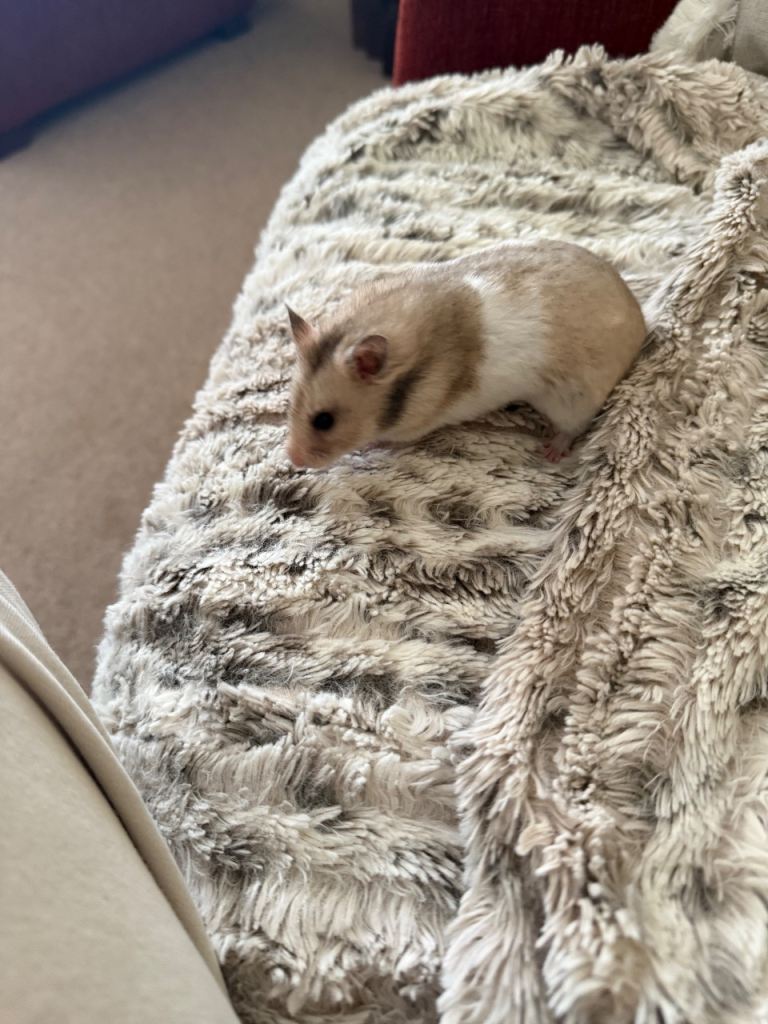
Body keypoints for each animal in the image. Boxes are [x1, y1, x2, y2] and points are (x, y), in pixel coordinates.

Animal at [285, 240, 646, 469]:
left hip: (572, 399)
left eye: (324, 421)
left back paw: (550, 451)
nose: (293, 461)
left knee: (573, 427)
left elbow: (392, 440)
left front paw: (370, 445)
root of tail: (642, 323)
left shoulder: (417, 423)